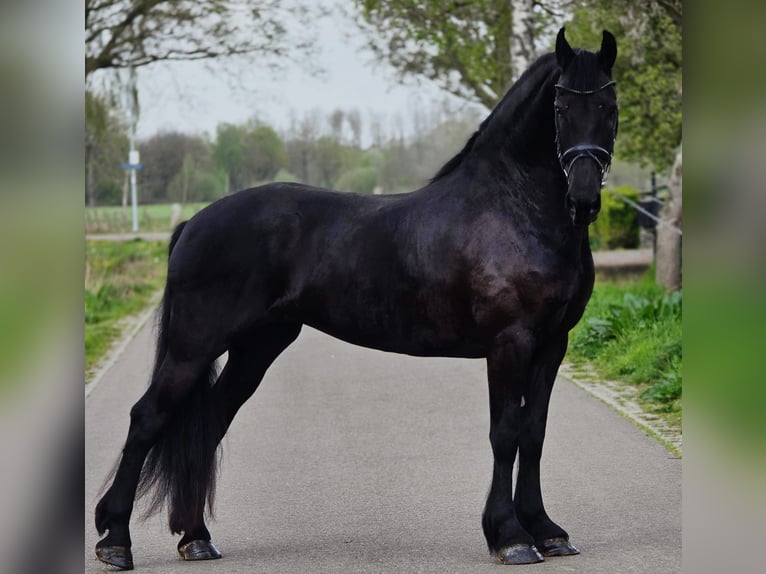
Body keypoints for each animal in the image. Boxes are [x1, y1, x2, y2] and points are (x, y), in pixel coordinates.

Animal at [94, 27, 618, 569]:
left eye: (610, 106)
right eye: (560, 108)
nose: (583, 200)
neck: (511, 210)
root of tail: (192, 223)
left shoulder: (552, 344)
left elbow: (533, 434)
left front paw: (547, 531)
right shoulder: (509, 343)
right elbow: (506, 433)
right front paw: (510, 536)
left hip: (257, 347)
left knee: (209, 424)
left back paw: (196, 537)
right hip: (192, 347)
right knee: (146, 419)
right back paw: (116, 541)